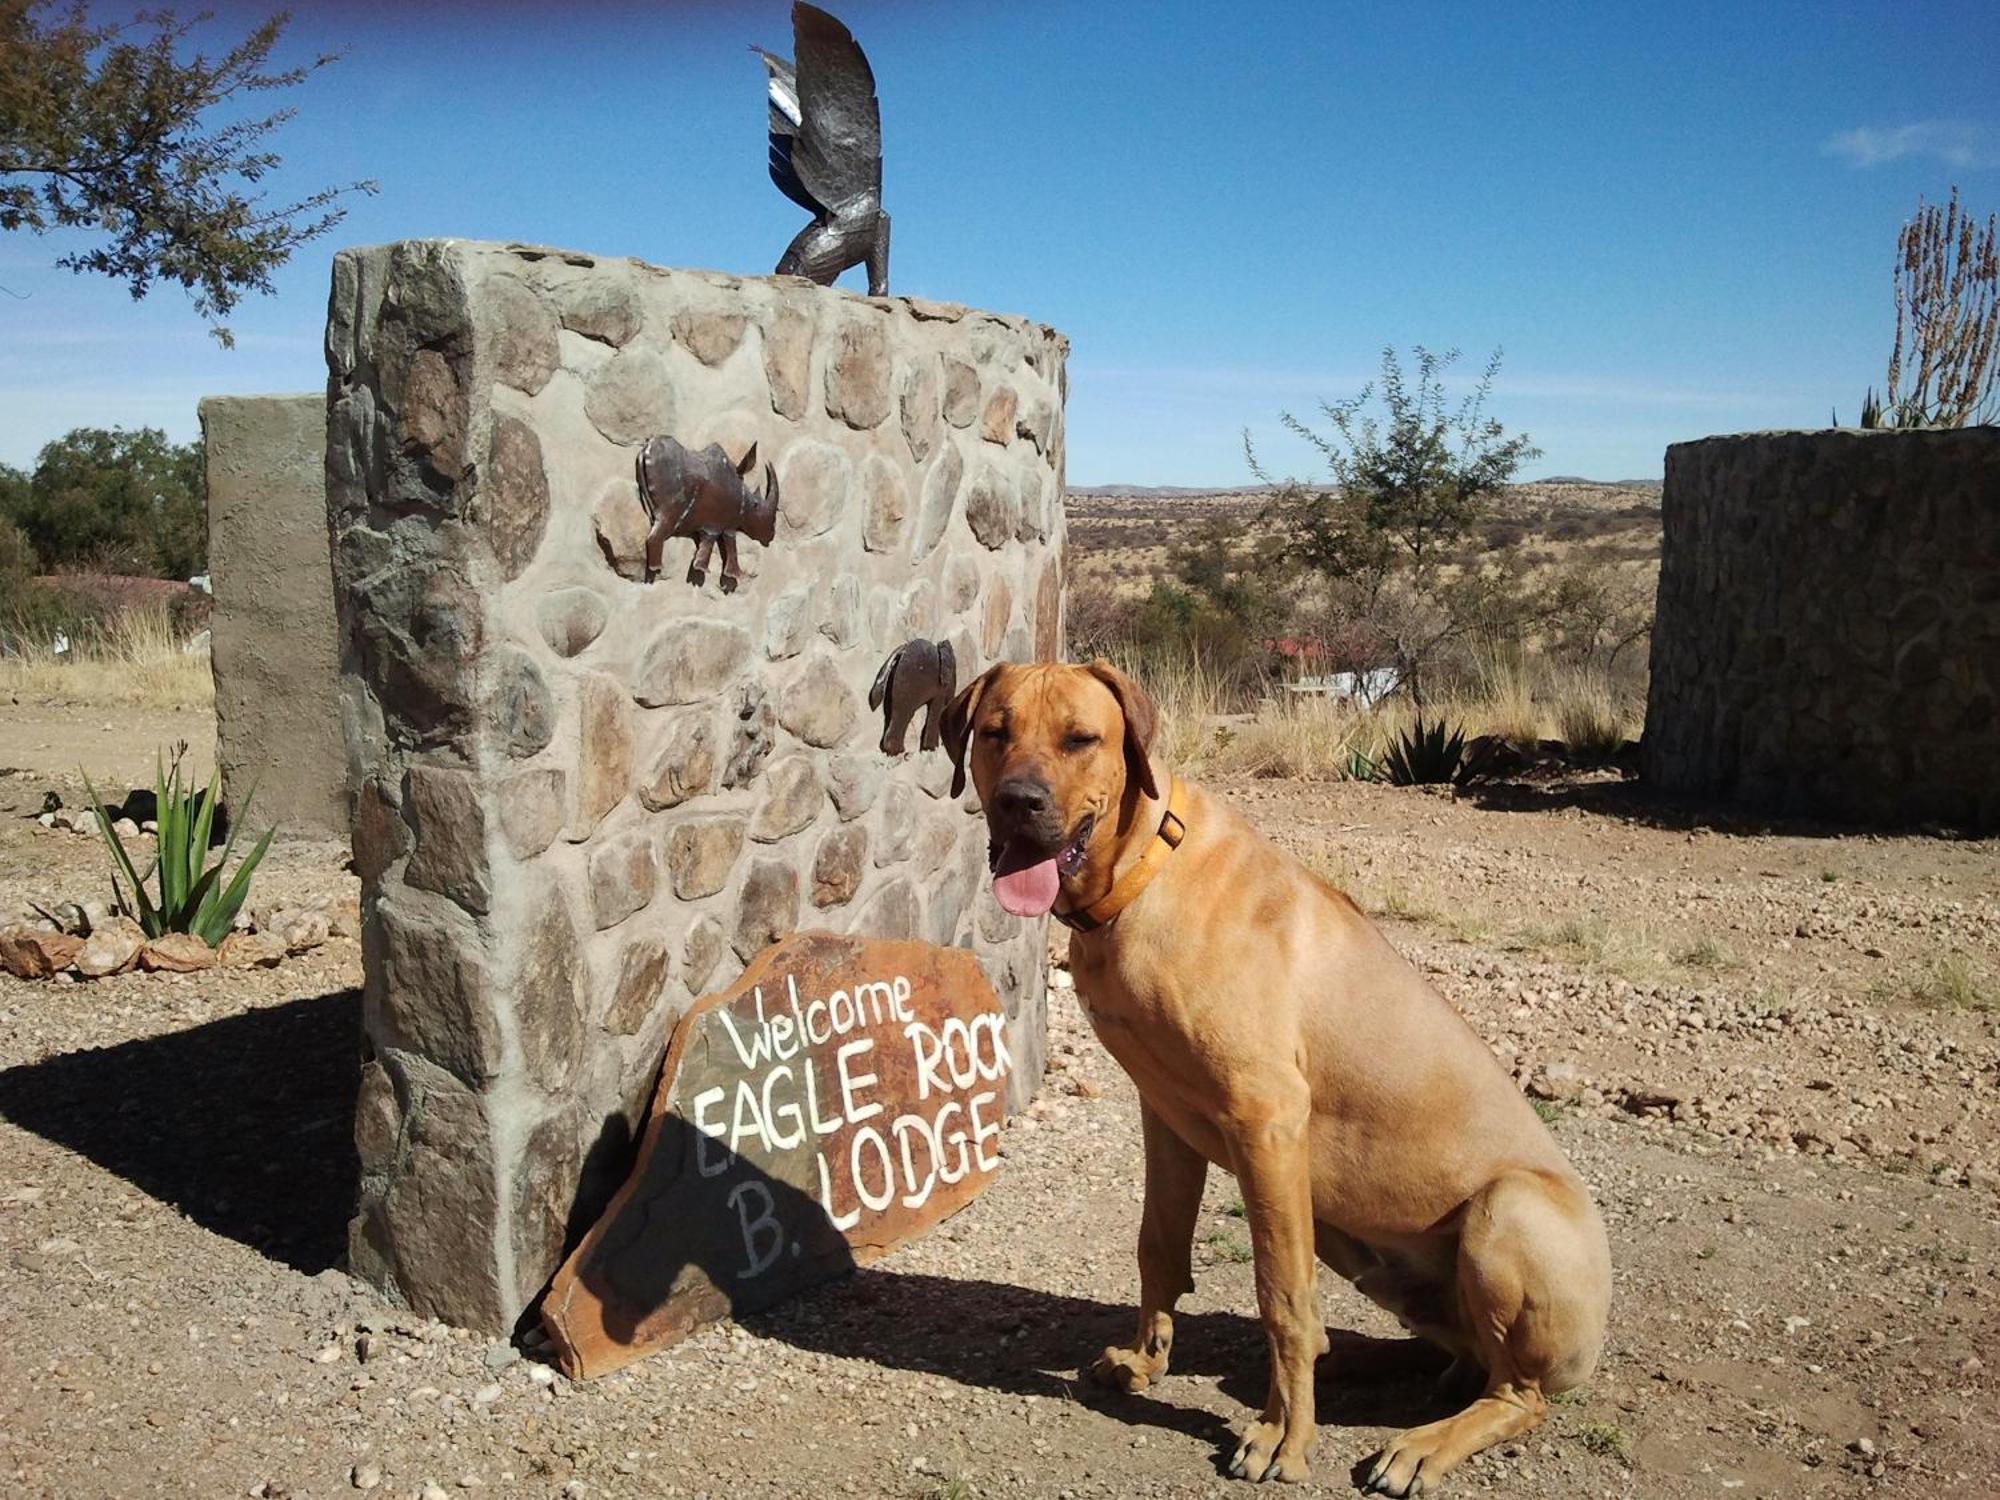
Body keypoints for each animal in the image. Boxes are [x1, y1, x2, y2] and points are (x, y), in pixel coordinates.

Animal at [944, 668, 1616, 1496]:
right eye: (994, 732)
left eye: (1080, 738)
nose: (1020, 801)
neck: (1143, 872)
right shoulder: (1165, 1114)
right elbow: (1158, 1245)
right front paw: (1145, 1361)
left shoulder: (1266, 1120)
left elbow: (1281, 1296)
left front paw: (1283, 1438)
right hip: (1366, 1250)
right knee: (1459, 1356)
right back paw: (1356, 1356)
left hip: (1508, 1210)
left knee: (1515, 1392)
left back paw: (1423, 1443)